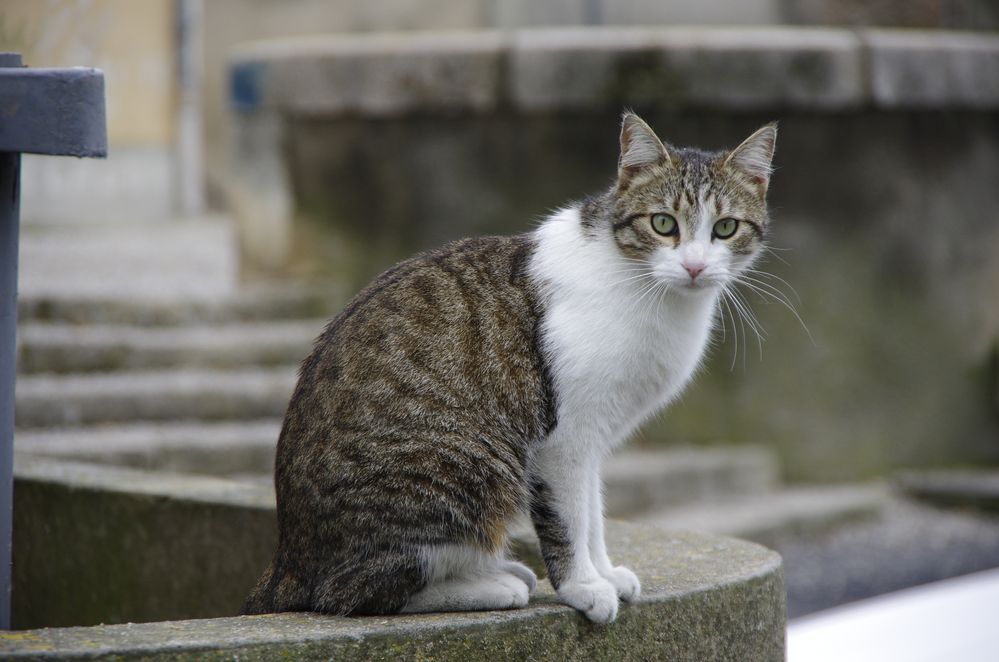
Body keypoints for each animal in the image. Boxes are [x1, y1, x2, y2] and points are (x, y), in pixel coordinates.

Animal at [246, 111, 776, 624]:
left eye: (725, 228)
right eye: (664, 223)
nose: (695, 267)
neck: (651, 292)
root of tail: (287, 562)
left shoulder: (593, 438)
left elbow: (593, 513)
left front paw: (604, 572)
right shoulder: (564, 438)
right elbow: (569, 520)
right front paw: (584, 587)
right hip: (468, 467)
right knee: (350, 593)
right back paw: (492, 586)